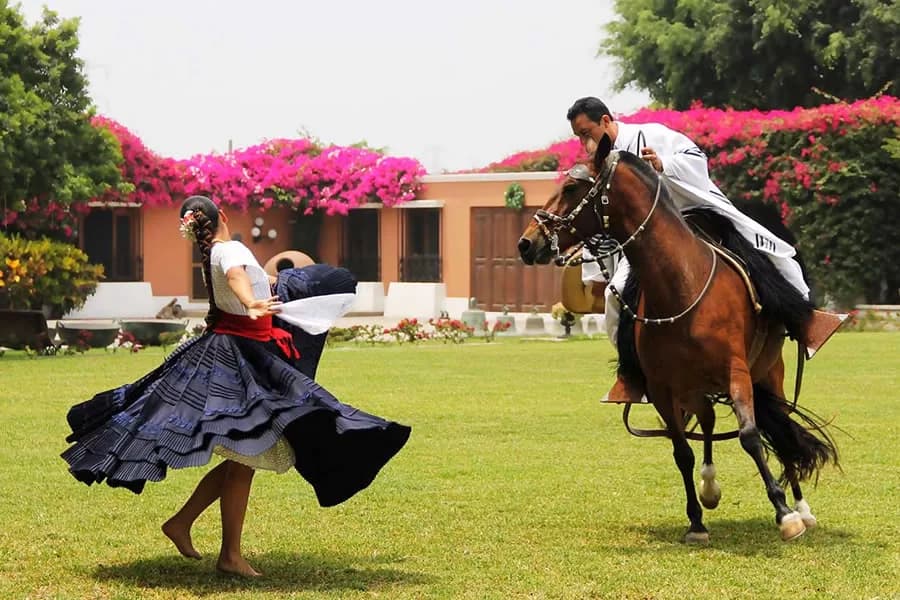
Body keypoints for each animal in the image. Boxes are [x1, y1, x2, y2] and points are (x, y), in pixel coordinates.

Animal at [517, 147, 839, 543]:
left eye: (572, 187)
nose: (527, 243)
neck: (681, 284)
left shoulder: (736, 371)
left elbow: (750, 436)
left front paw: (785, 514)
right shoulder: (662, 388)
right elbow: (682, 450)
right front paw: (696, 521)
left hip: (768, 374)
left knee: (780, 427)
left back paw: (802, 508)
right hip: (696, 388)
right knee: (710, 421)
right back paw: (710, 486)